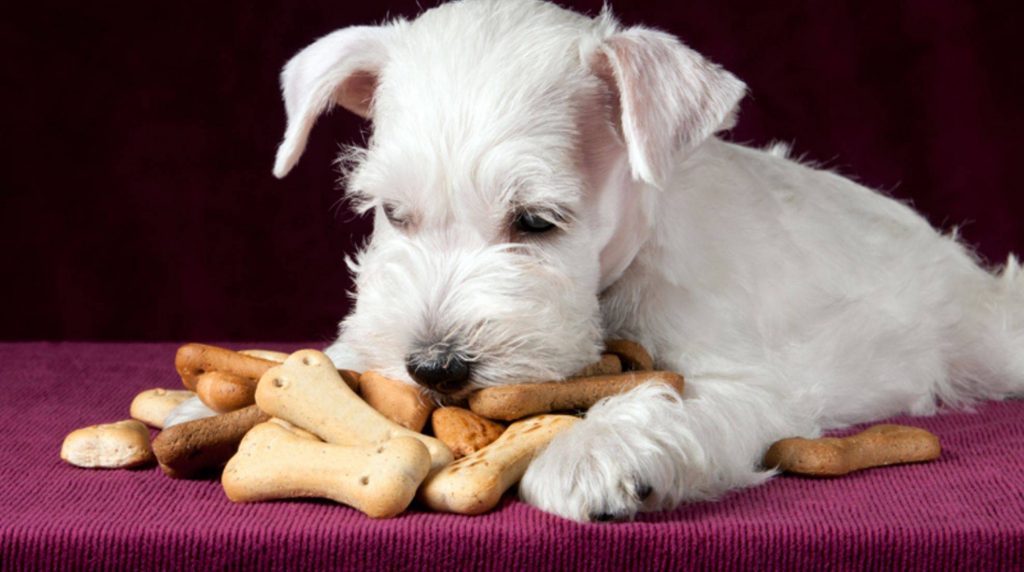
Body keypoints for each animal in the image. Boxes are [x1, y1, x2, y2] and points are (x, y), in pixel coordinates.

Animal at [172, 0, 1024, 521]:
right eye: (393, 214)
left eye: (536, 221)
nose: (435, 366)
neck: (623, 269)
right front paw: (203, 409)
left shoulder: (747, 379)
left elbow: (673, 400)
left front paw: (595, 451)